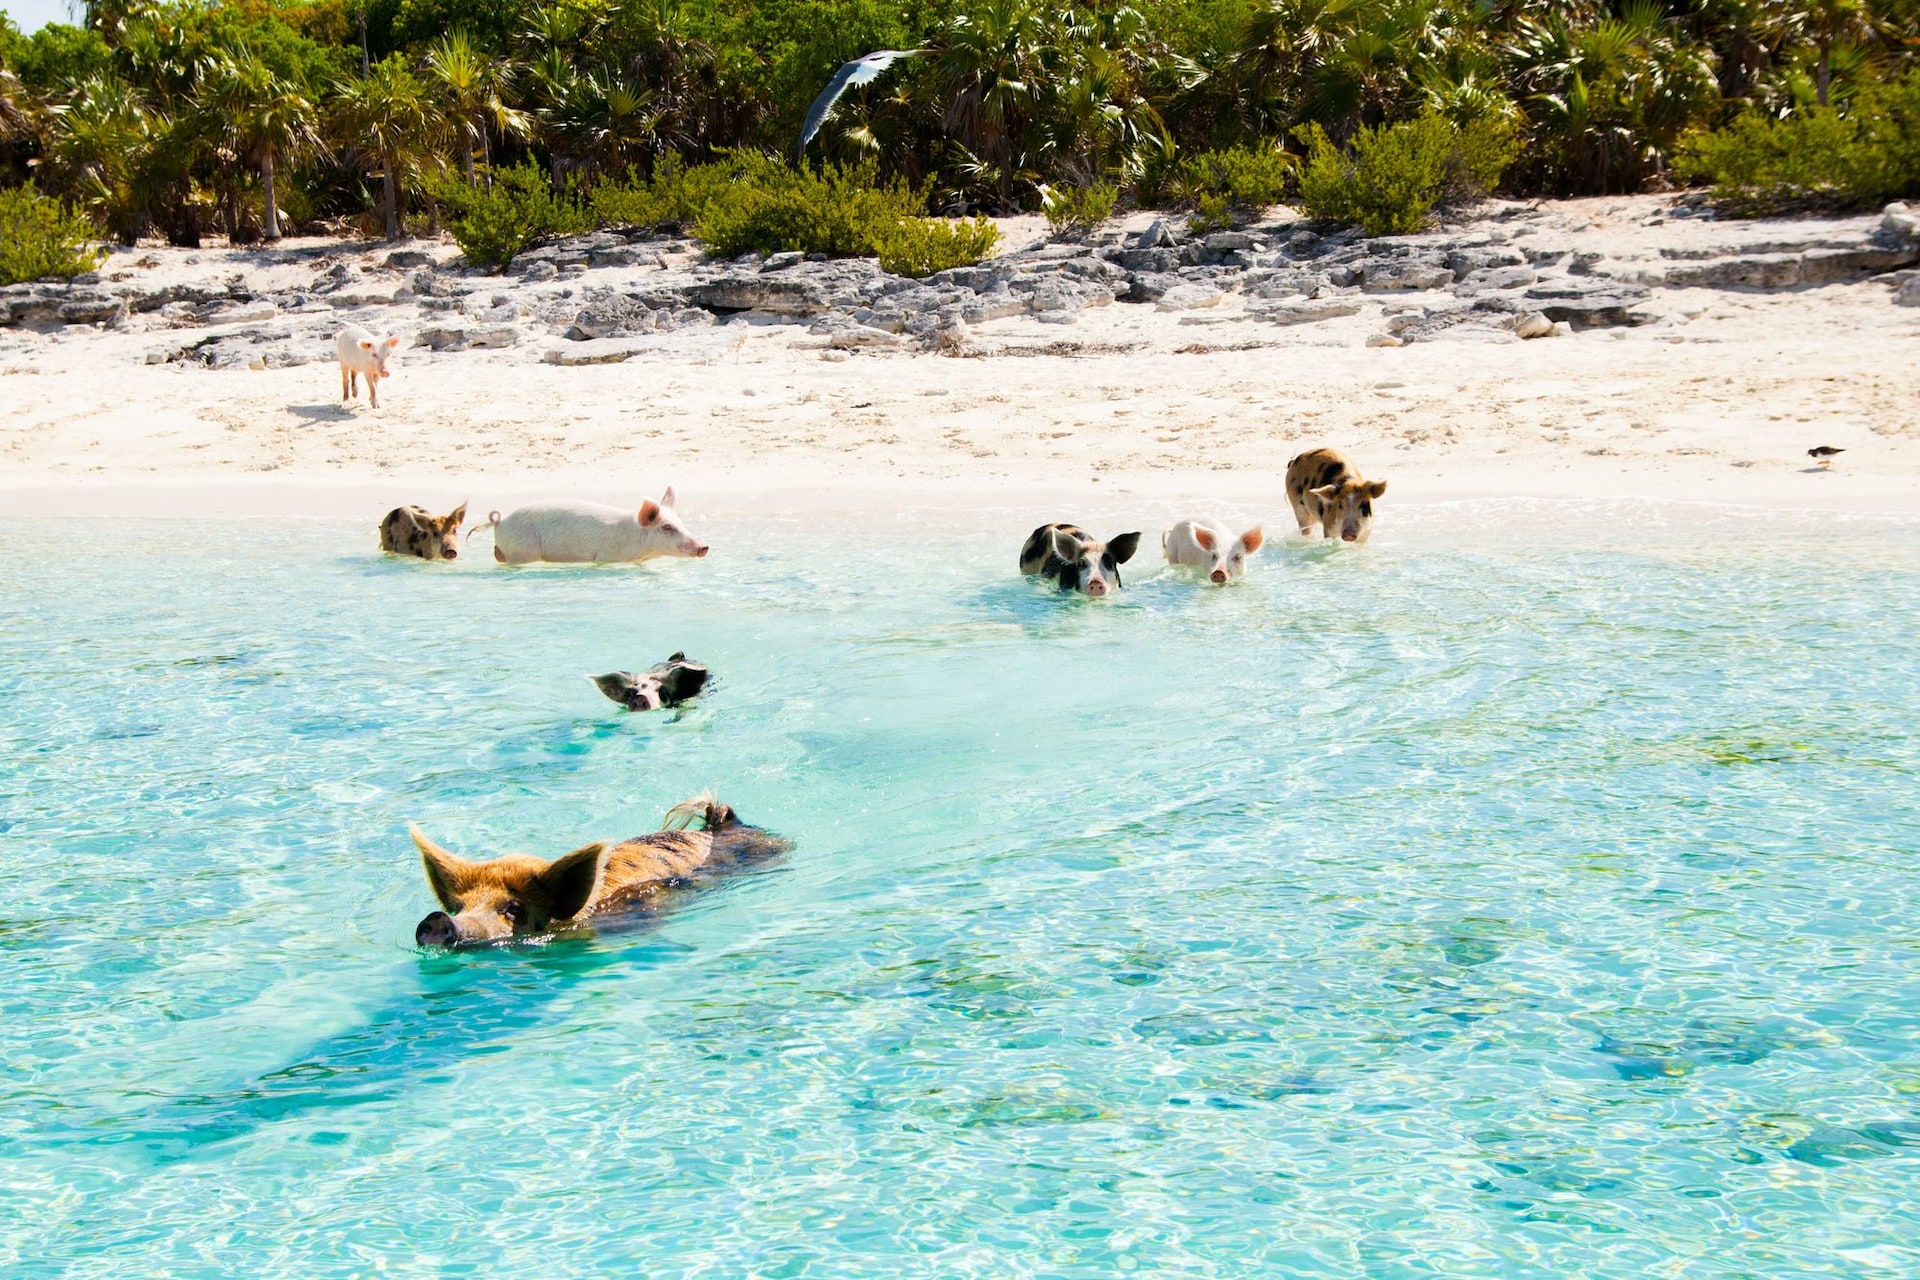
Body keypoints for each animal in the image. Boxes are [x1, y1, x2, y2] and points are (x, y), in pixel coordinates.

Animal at [480, 489, 709, 565]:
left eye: (681, 522)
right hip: (521, 549)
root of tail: (500, 521)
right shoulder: (608, 556)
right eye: (667, 527)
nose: (704, 547)